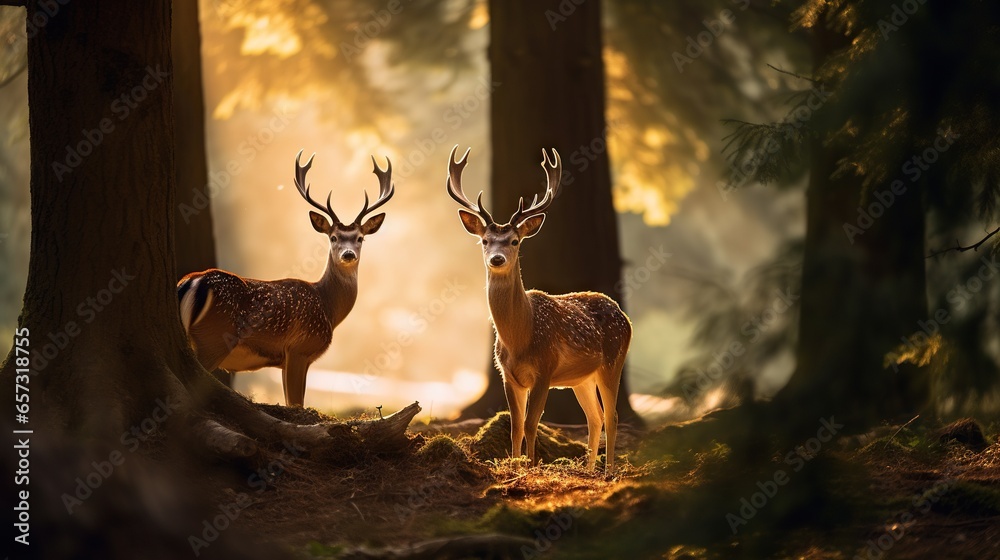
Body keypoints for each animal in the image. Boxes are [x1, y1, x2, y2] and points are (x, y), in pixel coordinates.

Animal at [177, 150, 394, 407]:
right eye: (333, 237)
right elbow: (297, 403)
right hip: (213, 338)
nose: (348, 254)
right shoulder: (299, 348)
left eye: (360, 238)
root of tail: (194, 280)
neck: (328, 306)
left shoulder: (284, 360)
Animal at [446, 145, 632, 473]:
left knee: (612, 416)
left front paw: (531, 467)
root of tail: (625, 317)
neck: (521, 336)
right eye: (485, 240)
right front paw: (515, 466)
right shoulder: (507, 375)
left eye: (514, 241)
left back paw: (608, 472)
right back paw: (588, 471)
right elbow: (515, 426)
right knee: (594, 417)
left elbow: (533, 424)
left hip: (613, 361)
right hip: (582, 378)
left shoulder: (545, 369)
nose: (496, 259)